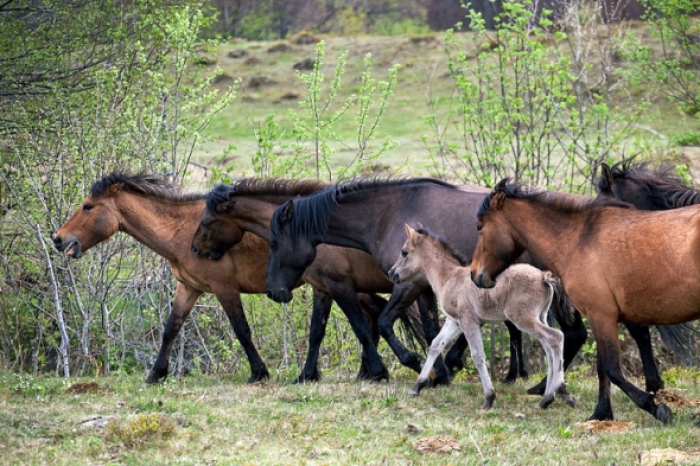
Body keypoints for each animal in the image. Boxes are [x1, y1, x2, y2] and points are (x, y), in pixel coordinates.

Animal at [51, 173, 394, 384]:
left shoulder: (224, 288)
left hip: (345, 285)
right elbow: (170, 329)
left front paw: (259, 372)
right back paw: (366, 372)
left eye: (87, 206)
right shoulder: (189, 288)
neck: (181, 232)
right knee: (373, 314)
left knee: (370, 316)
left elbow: (241, 330)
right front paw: (156, 374)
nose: (58, 239)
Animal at [388, 228, 576, 410]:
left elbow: (477, 354)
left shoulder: (468, 319)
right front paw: (416, 387)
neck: (449, 278)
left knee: (556, 337)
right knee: (549, 347)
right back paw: (547, 398)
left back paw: (554, 394)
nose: (392, 272)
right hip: (540, 316)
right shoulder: (453, 321)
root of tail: (543, 276)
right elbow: (435, 345)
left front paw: (489, 398)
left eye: (404, 252)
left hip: (522, 318)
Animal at [464, 180, 700, 424]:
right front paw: (602, 413)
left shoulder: (601, 316)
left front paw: (655, 407)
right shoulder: (600, 318)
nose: (475, 274)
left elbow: (612, 369)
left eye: (480, 226)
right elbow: (603, 369)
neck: (579, 240)